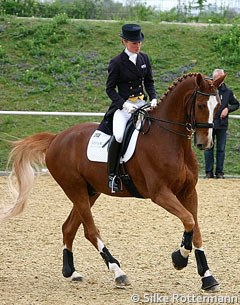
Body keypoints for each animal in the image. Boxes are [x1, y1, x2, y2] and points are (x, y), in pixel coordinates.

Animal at [0, 71, 225, 290]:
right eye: (201, 105)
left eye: (218, 105)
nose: (205, 143)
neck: (170, 140)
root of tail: (56, 138)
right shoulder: (160, 193)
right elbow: (188, 219)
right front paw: (179, 258)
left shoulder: (189, 191)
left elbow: (195, 228)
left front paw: (207, 277)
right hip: (75, 189)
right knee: (90, 231)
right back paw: (118, 272)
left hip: (90, 192)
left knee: (69, 227)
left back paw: (71, 272)